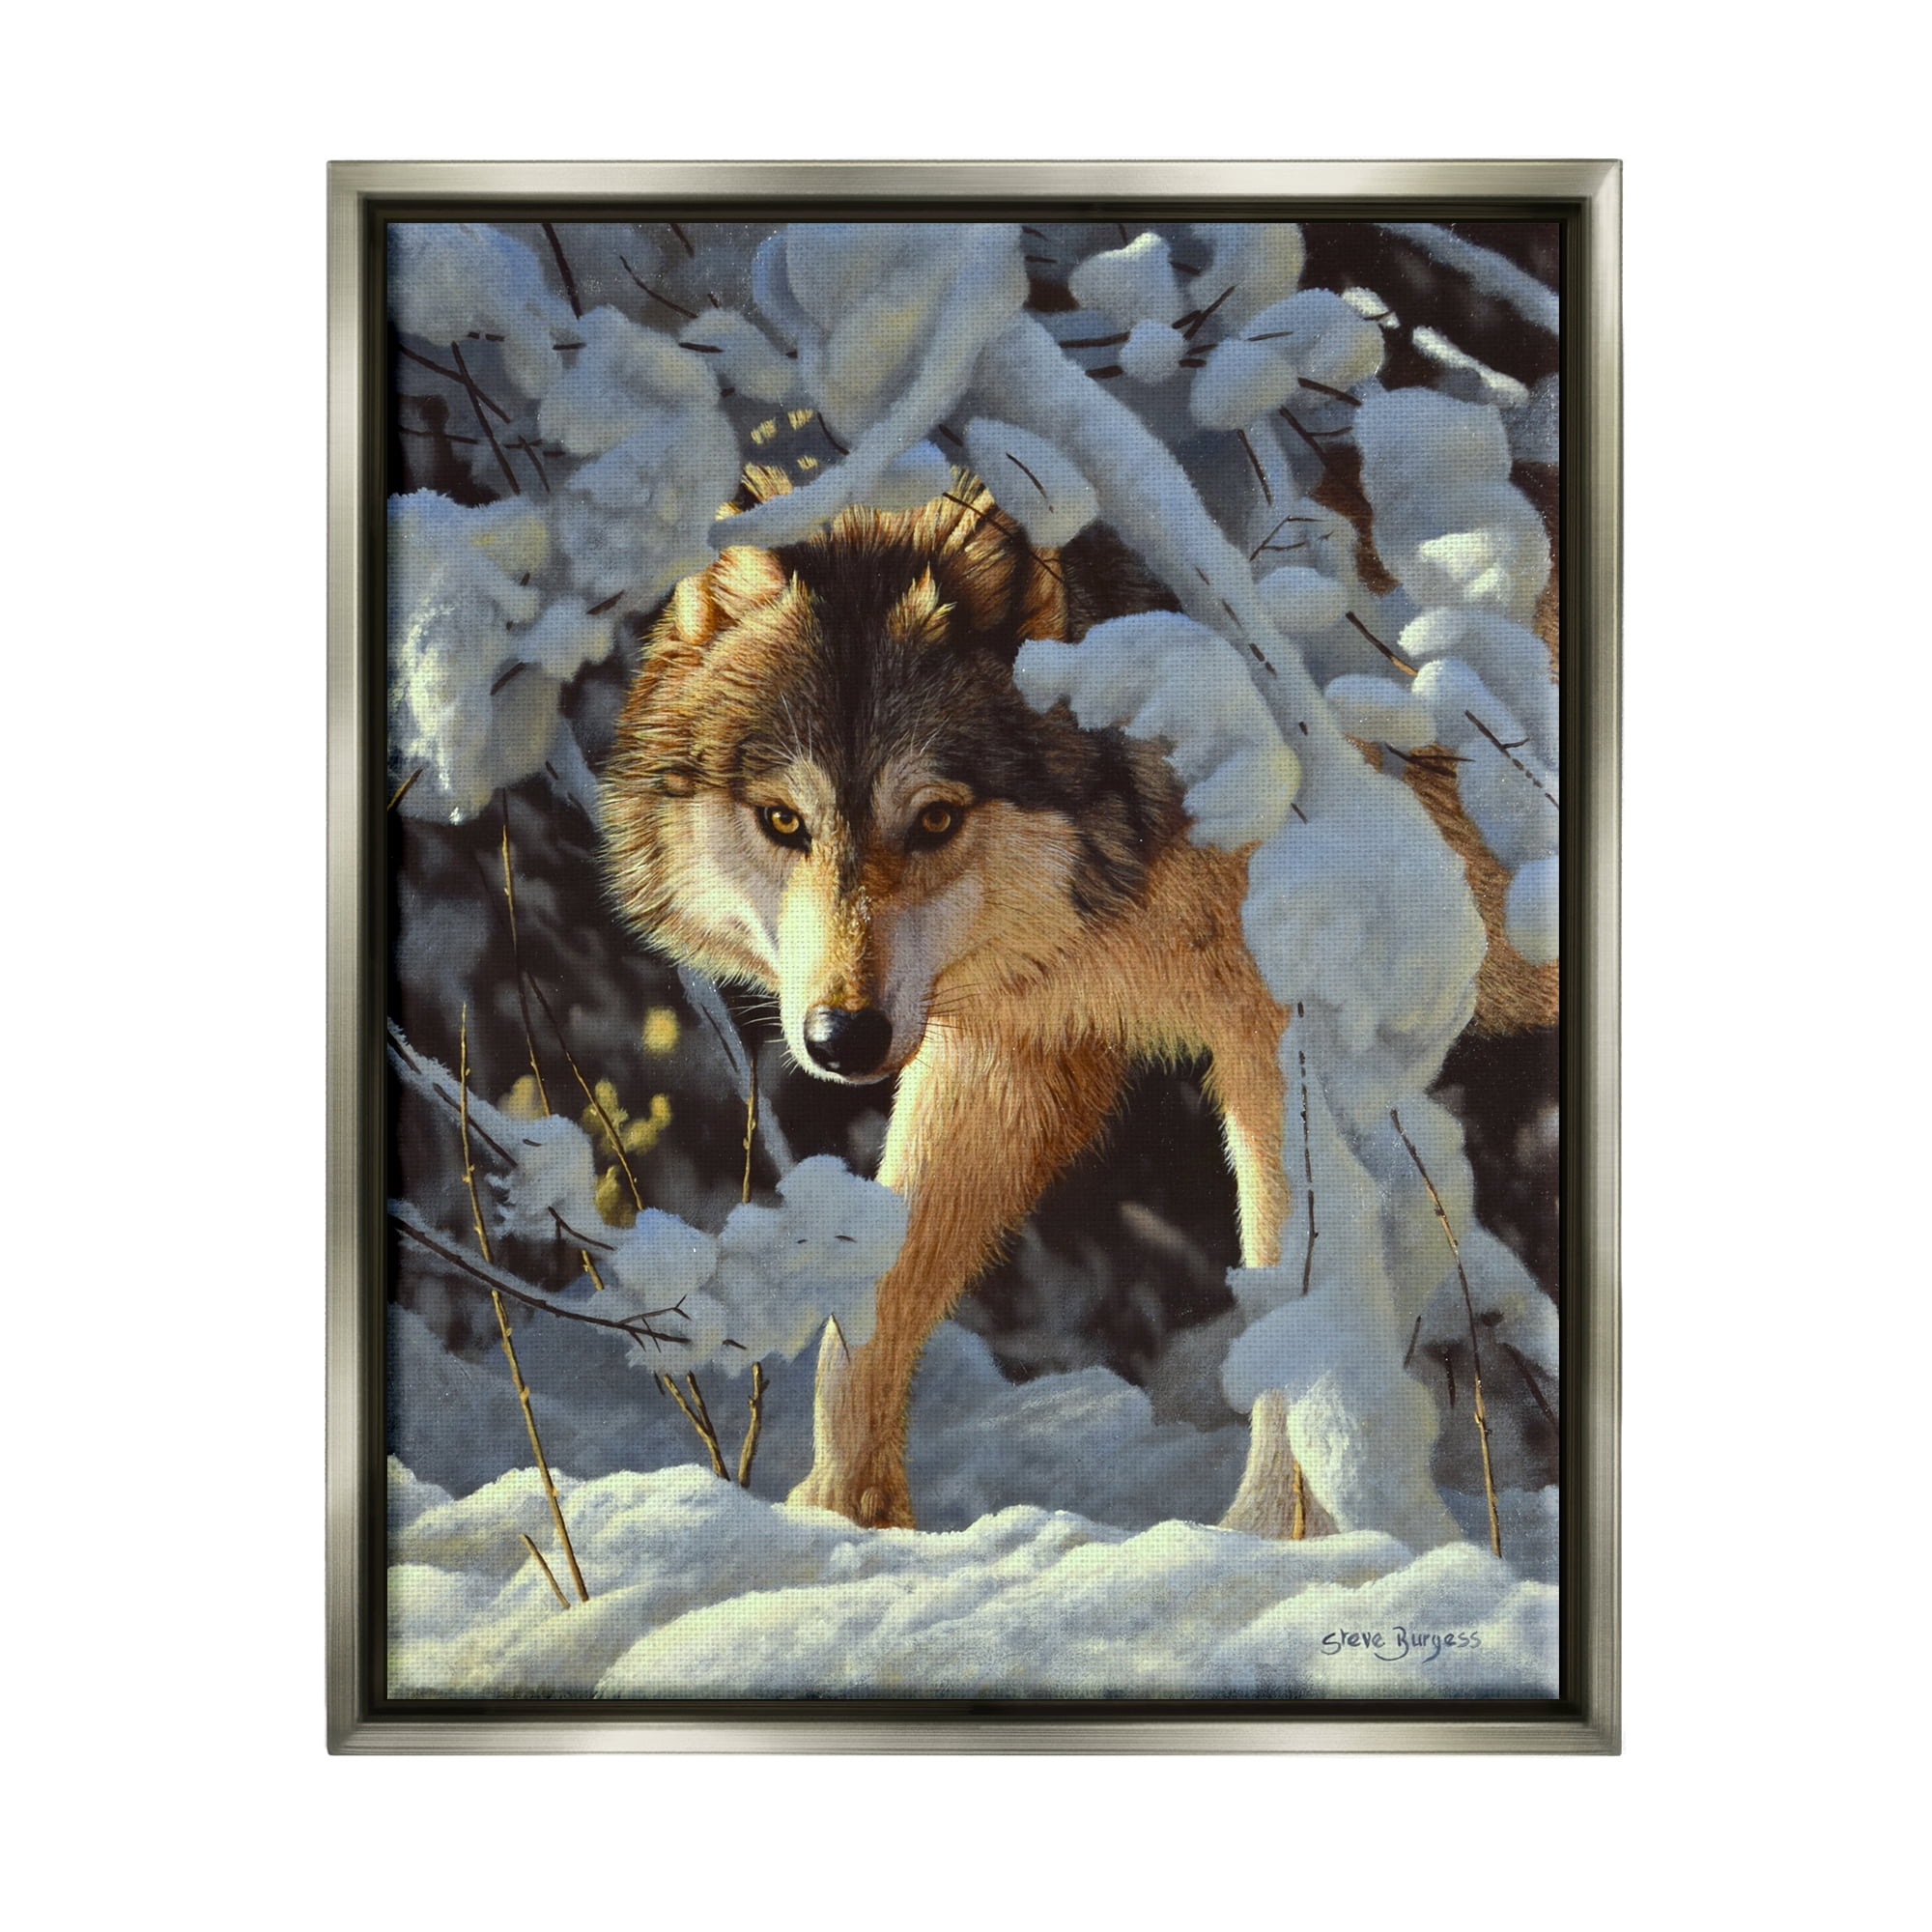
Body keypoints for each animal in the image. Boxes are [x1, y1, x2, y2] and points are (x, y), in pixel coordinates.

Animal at [602, 467, 1304, 1531]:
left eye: (934, 818)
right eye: (783, 820)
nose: (843, 1037)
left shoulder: (1285, 1039)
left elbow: (1298, 1308)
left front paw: (1272, 1540)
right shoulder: (1008, 1050)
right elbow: (869, 1305)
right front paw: (843, 1516)